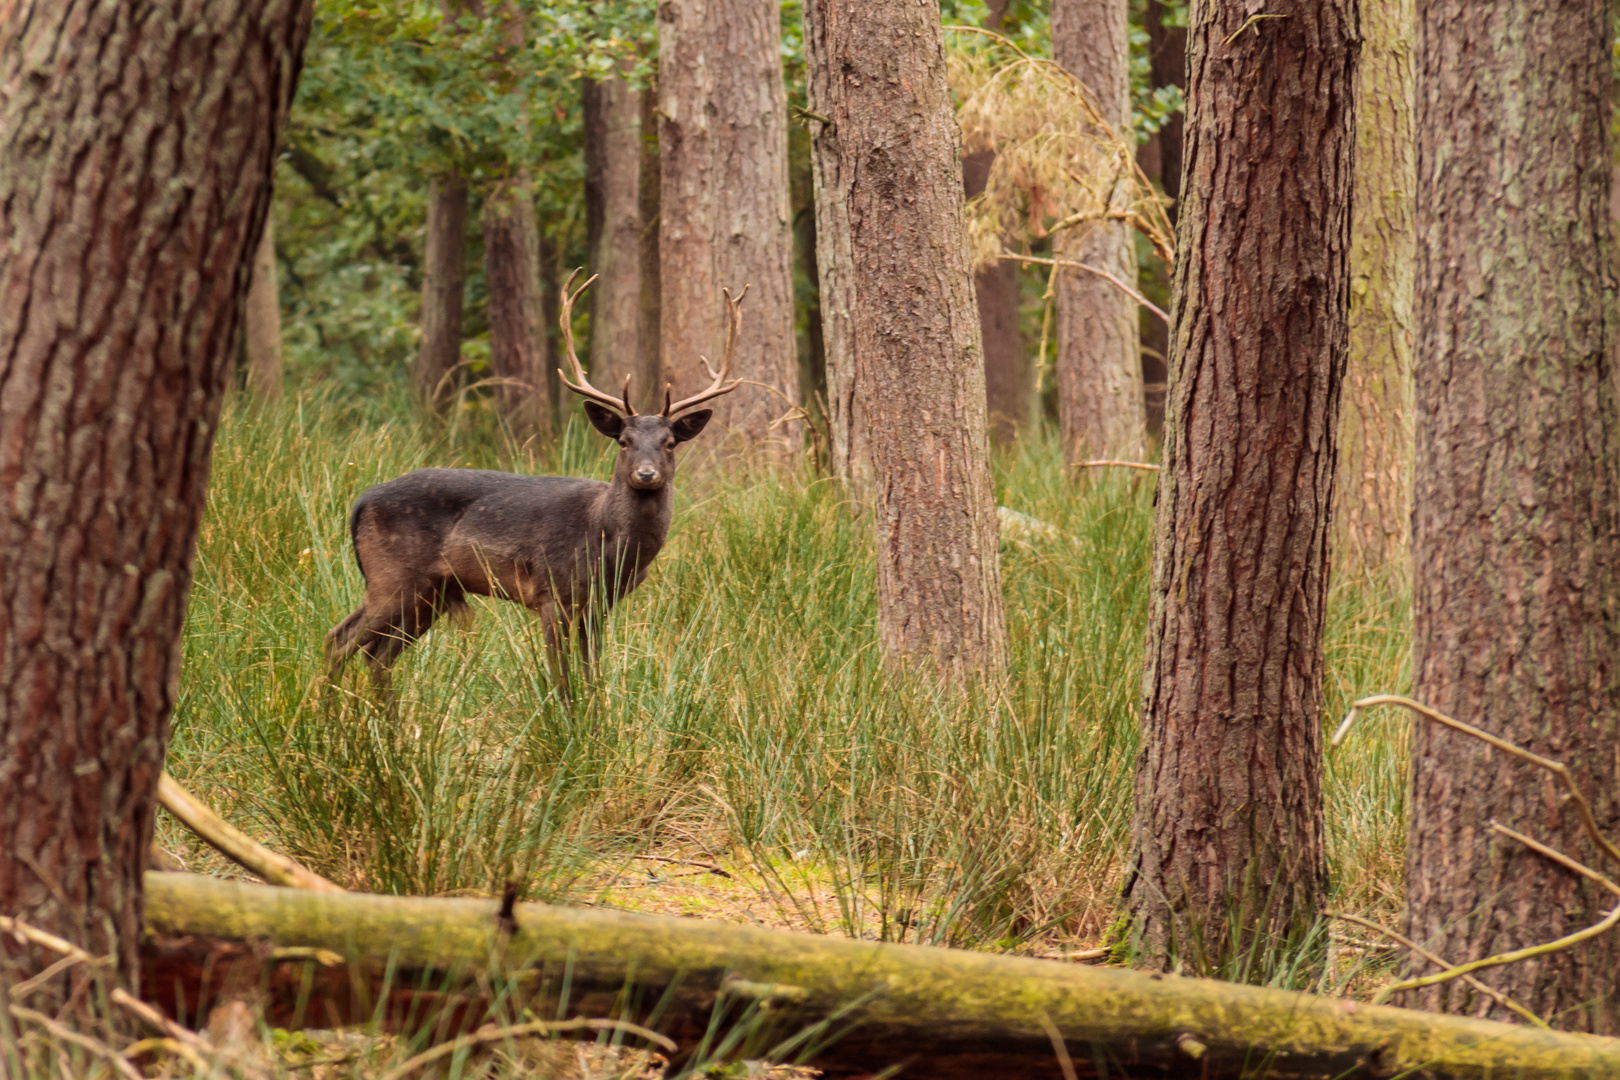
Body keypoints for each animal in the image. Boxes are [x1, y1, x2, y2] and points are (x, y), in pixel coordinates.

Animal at [328, 268, 745, 693]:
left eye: (670, 443)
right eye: (624, 441)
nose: (646, 474)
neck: (607, 543)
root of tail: (360, 501)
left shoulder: (599, 605)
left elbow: (593, 675)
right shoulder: (552, 592)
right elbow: (560, 678)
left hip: (433, 590)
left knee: (378, 656)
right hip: (392, 576)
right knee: (339, 640)